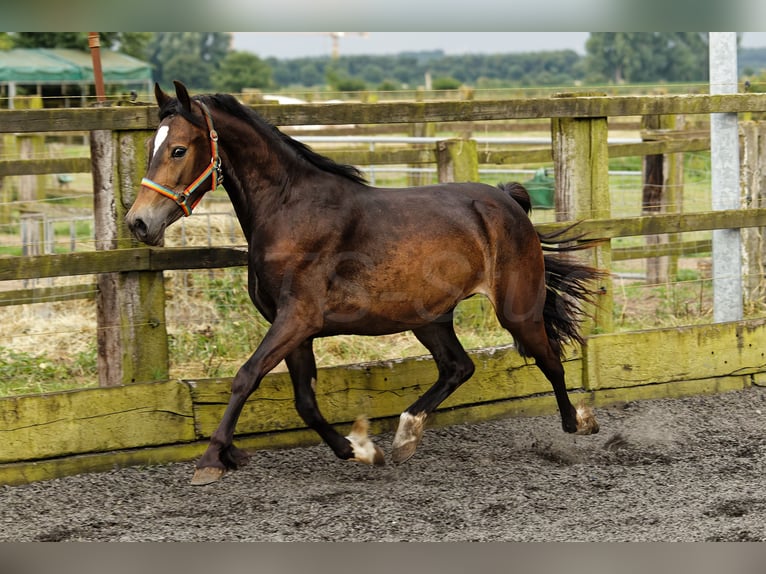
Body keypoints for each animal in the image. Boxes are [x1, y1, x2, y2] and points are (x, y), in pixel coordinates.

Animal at [126, 81, 603, 485]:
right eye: (151, 146)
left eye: (178, 149)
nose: (138, 222)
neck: (289, 210)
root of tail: (507, 199)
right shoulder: (295, 329)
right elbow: (304, 401)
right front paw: (358, 450)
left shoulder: (297, 318)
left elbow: (246, 376)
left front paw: (211, 460)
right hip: (429, 317)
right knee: (458, 366)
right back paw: (406, 436)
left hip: (516, 308)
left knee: (549, 358)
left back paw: (577, 423)